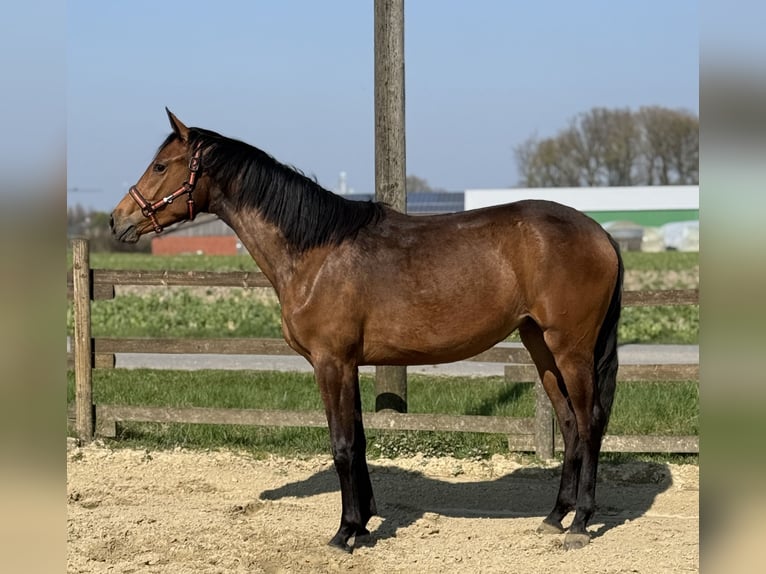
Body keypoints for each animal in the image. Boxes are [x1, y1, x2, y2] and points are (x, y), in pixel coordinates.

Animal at [110, 109, 624, 552]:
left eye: (160, 165)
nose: (118, 220)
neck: (315, 251)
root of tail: (599, 232)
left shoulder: (331, 362)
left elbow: (341, 446)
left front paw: (344, 533)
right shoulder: (349, 364)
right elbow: (357, 442)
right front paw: (363, 522)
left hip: (571, 348)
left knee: (591, 421)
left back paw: (580, 523)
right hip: (540, 346)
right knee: (570, 423)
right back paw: (555, 516)